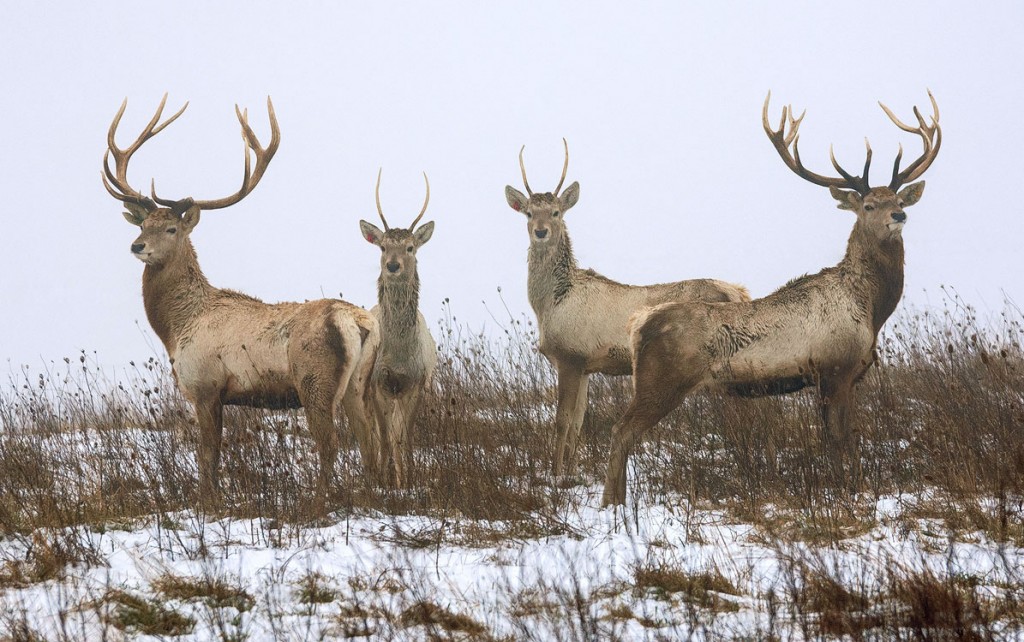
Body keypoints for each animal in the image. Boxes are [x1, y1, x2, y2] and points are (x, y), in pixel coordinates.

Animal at [103, 94, 381, 506]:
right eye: (143, 225)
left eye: (171, 229)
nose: (137, 246)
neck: (177, 328)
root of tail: (359, 323)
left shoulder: (205, 385)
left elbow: (207, 456)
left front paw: (209, 503)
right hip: (358, 383)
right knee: (369, 439)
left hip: (315, 378)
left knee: (330, 443)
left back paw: (317, 503)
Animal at [358, 170, 438, 487]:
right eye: (382, 246)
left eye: (410, 247)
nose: (392, 266)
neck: (400, 358)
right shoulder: (377, 383)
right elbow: (385, 437)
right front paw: (385, 480)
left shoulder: (416, 382)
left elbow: (405, 437)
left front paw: (407, 480)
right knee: (375, 434)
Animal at [504, 140, 751, 477]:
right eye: (529, 213)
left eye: (555, 212)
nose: (541, 231)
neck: (550, 305)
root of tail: (739, 294)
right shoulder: (586, 364)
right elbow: (578, 423)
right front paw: (570, 471)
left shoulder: (570, 356)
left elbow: (561, 421)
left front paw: (555, 475)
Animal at [602, 92, 941, 505]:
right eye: (868, 206)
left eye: (897, 198)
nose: (898, 215)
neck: (870, 310)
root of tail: (638, 324)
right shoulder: (834, 367)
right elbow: (840, 439)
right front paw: (849, 491)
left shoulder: (847, 375)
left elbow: (847, 437)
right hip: (659, 381)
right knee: (621, 430)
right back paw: (612, 503)